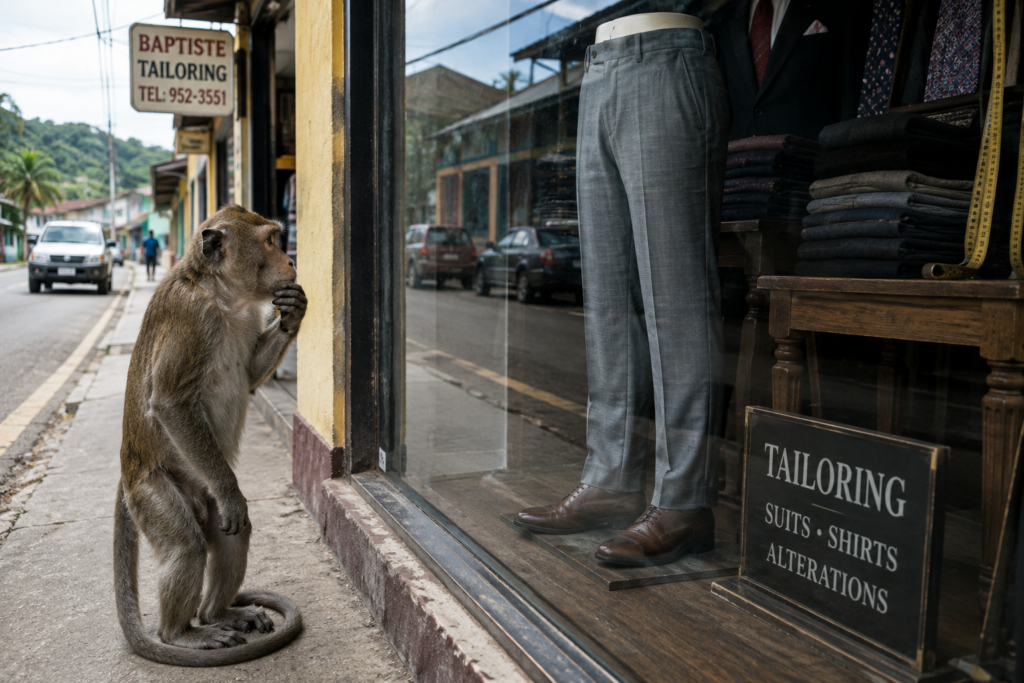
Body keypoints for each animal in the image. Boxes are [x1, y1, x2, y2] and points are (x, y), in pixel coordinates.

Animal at [114, 205, 308, 666]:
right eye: (271, 240)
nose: (291, 260)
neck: (221, 296)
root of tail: (127, 470)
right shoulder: (191, 318)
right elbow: (169, 401)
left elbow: (250, 376)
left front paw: (292, 312)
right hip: (151, 489)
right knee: (187, 545)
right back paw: (181, 633)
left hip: (205, 494)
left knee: (232, 534)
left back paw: (217, 613)